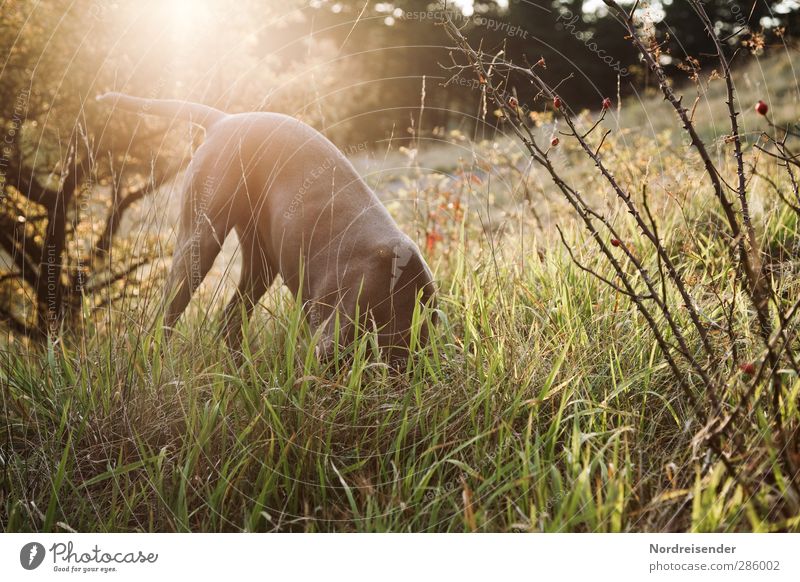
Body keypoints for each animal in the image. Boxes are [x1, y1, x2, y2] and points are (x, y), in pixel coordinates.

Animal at [100, 91, 438, 364]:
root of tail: (224, 120)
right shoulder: (330, 334)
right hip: (201, 239)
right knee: (167, 316)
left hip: (261, 260)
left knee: (230, 320)